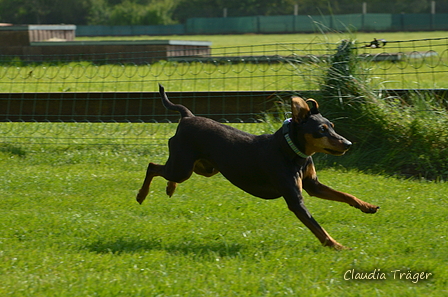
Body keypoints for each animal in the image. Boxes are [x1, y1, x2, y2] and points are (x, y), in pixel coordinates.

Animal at [136, 84, 378, 249]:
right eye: (321, 130)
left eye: (332, 126)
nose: (348, 143)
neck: (293, 152)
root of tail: (187, 116)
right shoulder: (295, 200)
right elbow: (318, 228)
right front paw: (338, 246)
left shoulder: (313, 185)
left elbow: (345, 195)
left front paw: (367, 206)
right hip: (184, 166)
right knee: (152, 166)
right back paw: (141, 195)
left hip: (205, 168)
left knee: (168, 171)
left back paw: (170, 188)